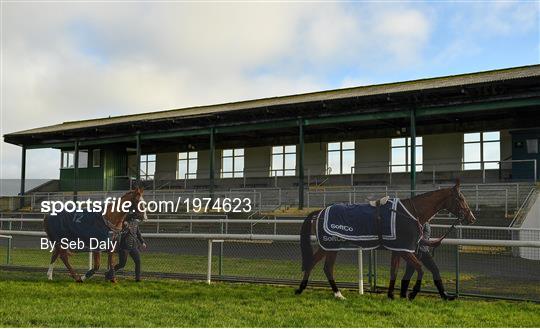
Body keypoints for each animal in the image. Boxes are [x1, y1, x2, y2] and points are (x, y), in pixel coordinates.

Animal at [296, 179, 476, 300]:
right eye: (461, 198)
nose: (471, 218)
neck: (411, 212)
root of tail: (320, 211)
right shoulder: (405, 250)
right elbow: (419, 268)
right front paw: (412, 293)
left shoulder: (398, 250)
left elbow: (394, 271)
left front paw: (391, 295)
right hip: (329, 245)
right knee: (320, 265)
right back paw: (319, 291)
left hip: (330, 247)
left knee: (321, 266)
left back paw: (325, 292)